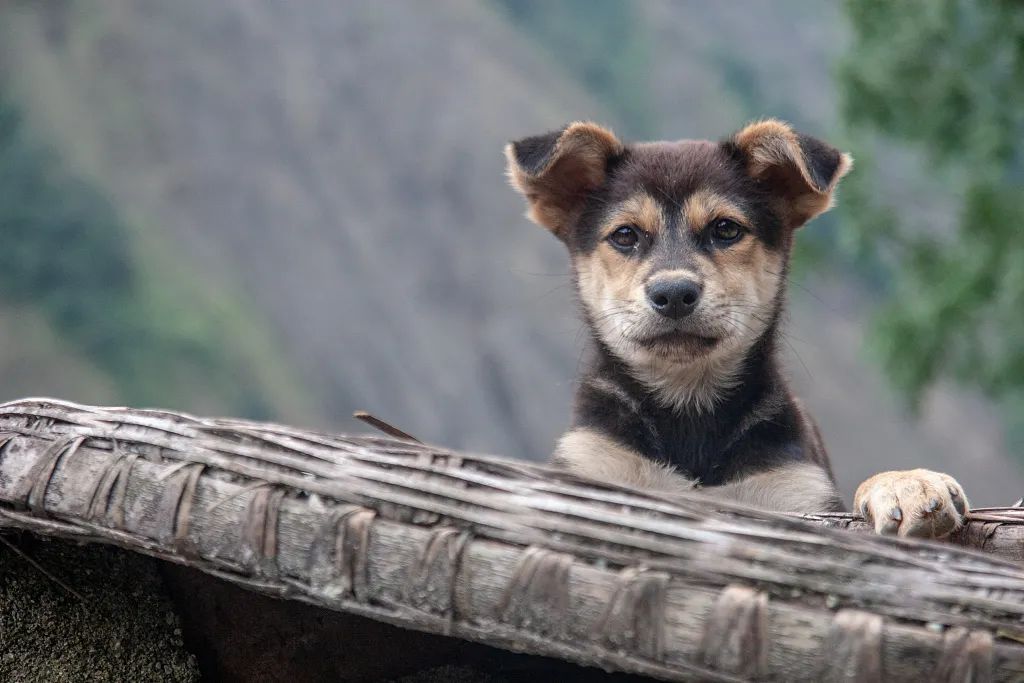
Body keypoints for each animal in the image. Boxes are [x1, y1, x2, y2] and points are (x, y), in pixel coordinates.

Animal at [507, 121, 970, 540]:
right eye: (625, 235)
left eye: (726, 228)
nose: (673, 294)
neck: (688, 410)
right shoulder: (593, 466)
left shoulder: (794, 490)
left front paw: (907, 483)